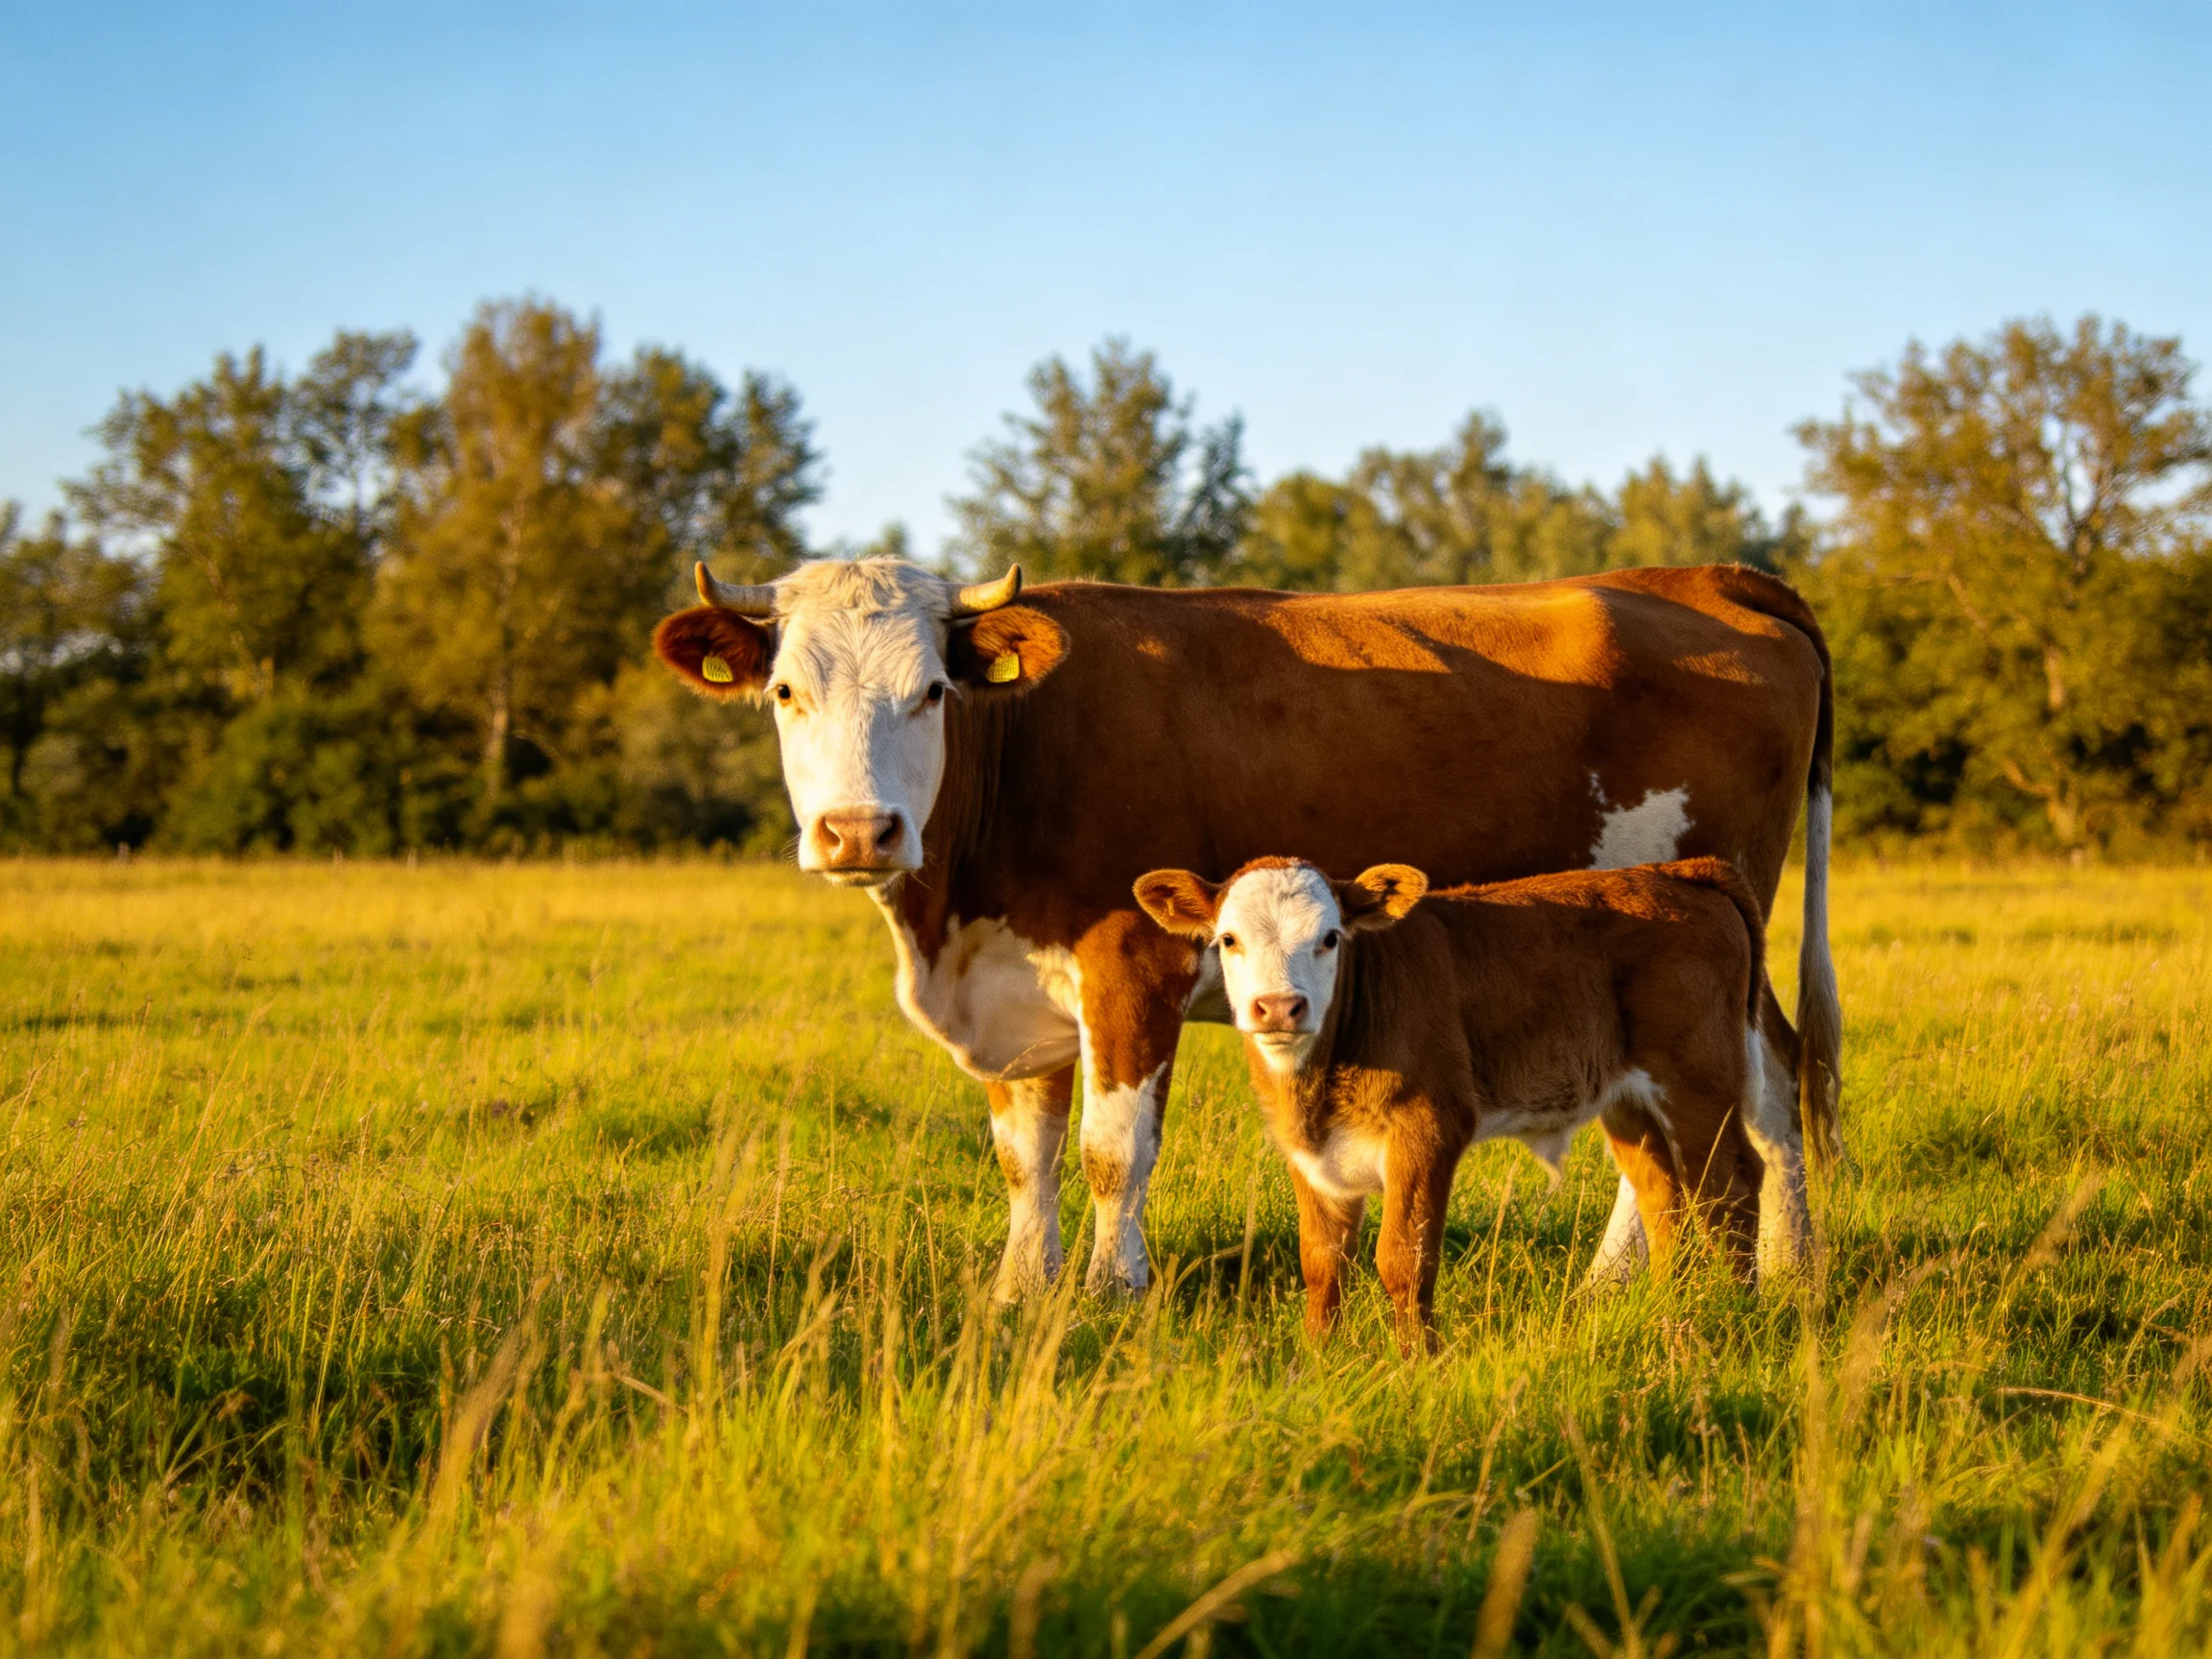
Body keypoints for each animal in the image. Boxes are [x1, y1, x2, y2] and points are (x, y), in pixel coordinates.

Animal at [1131, 856, 1800, 1347]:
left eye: (1330, 938)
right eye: (1228, 939)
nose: (1277, 1007)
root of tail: (1675, 871)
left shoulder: (1429, 1127)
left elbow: (1403, 1258)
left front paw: (1416, 1363)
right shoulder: (1308, 1152)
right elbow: (1322, 1262)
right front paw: (1318, 1360)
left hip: (1699, 1080)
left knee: (1730, 1188)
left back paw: (1735, 1312)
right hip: (1630, 1102)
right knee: (1664, 1196)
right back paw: (1668, 1308)